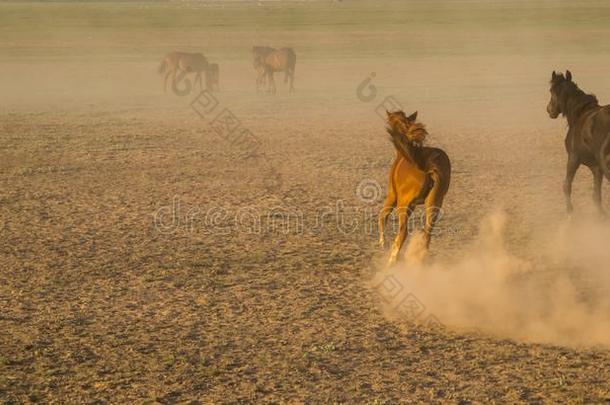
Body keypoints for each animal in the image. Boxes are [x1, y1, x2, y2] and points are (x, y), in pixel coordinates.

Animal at [378, 109, 448, 266]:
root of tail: (427, 167)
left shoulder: (392, 196)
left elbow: (382, 215)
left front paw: (383, 243)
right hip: (434, 204)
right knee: (427, 236)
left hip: (403, 205)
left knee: (403, 232)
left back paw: (392, 259)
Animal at [544, 69, 608, 215]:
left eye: (551, 90)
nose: (549, 109)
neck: (579, 113)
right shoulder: (596, 167)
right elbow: (596, 196)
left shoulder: (573, 158)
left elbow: (567, 185)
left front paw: (570, 212)